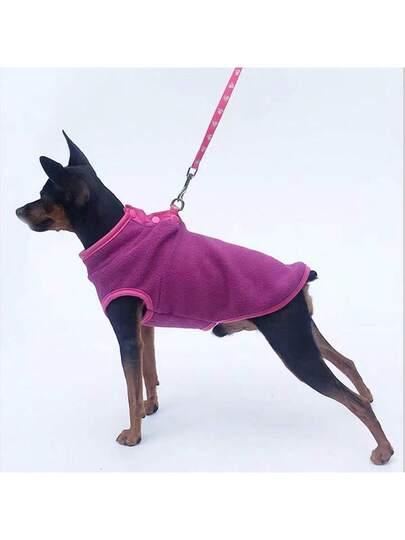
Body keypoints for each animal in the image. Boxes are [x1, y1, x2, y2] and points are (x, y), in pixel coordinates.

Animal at [16, 132, 394, 465]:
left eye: (43, 195)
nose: (18, 211)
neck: (114, 234)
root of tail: (301, 275)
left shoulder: (125, 333)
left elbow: (129, 387)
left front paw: (134, 435)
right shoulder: (144, 327)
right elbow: (148, 373)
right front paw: (150, 407)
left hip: (294, 349)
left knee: (355, 404)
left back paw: (383, 450)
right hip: (303, 333)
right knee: (347, 362)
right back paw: (368, 394)